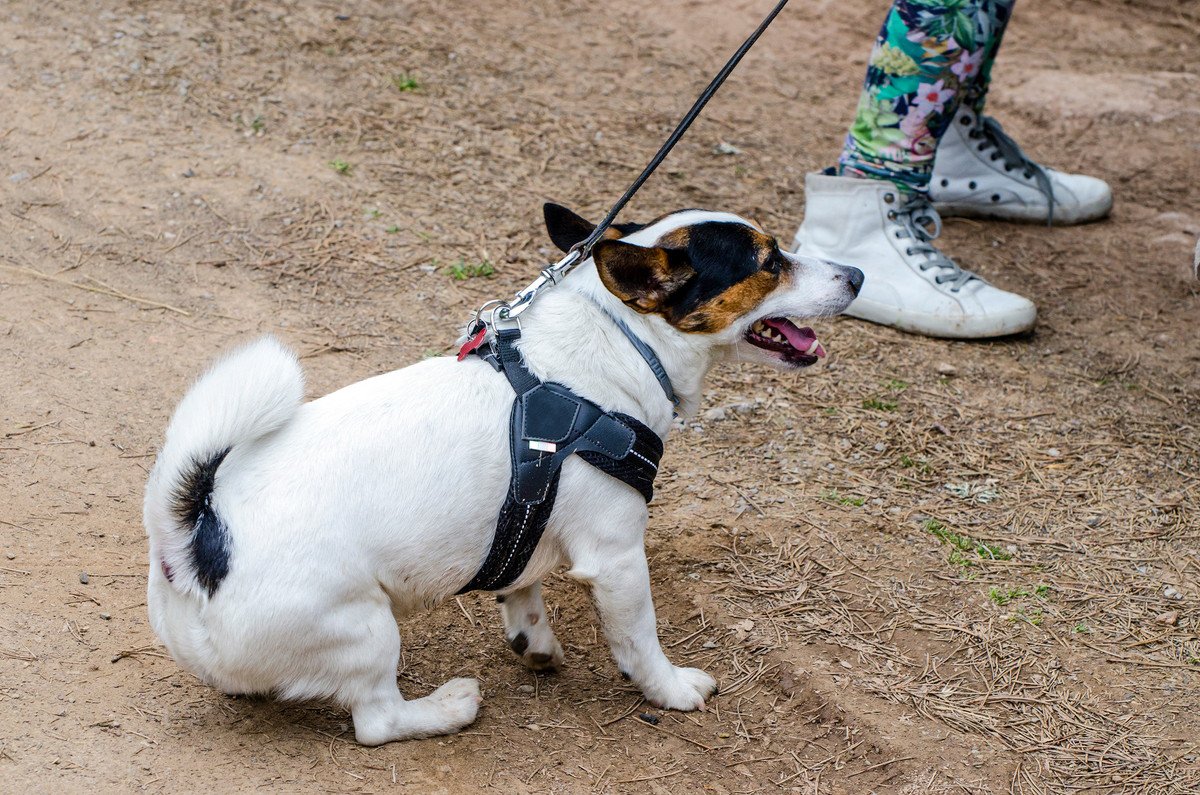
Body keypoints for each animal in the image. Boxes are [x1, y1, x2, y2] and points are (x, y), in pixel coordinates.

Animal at [145, 205, 864, 749]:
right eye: (769, 262)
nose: (857, 274)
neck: (618, 341)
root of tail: (195, 541)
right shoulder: (618, 558)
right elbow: (640, 640)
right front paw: (672, 688)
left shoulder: (526, 518)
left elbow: (523, 585)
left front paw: (534, 641)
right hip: (367, 629)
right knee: (377, 719)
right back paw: (446, 707)